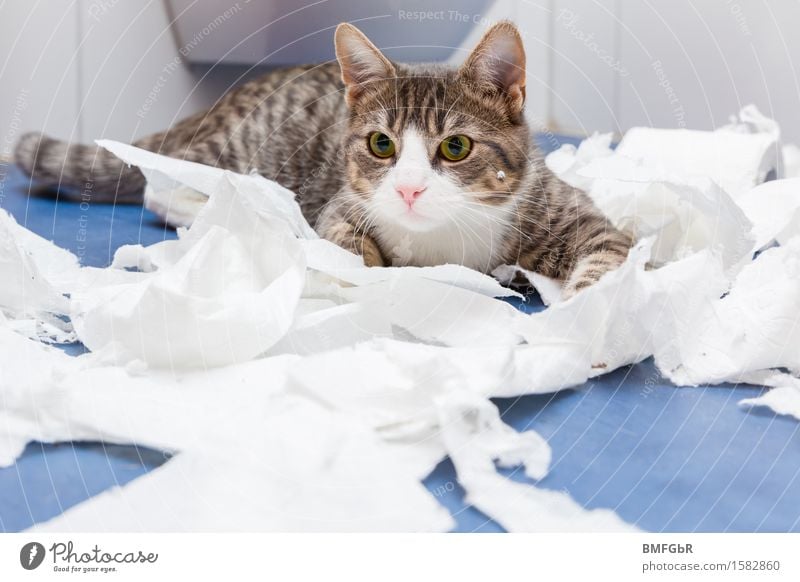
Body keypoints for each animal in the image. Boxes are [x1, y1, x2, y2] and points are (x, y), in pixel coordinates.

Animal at [14, 21, 632, 296]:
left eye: (455, 147)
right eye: (381, 144)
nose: (408, 189)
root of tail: (221, 101)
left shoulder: (565, 210)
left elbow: (609, 254)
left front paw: (580, 316)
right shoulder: (342, 206)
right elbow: (347, 243)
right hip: (242, 149)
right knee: (163, 185)